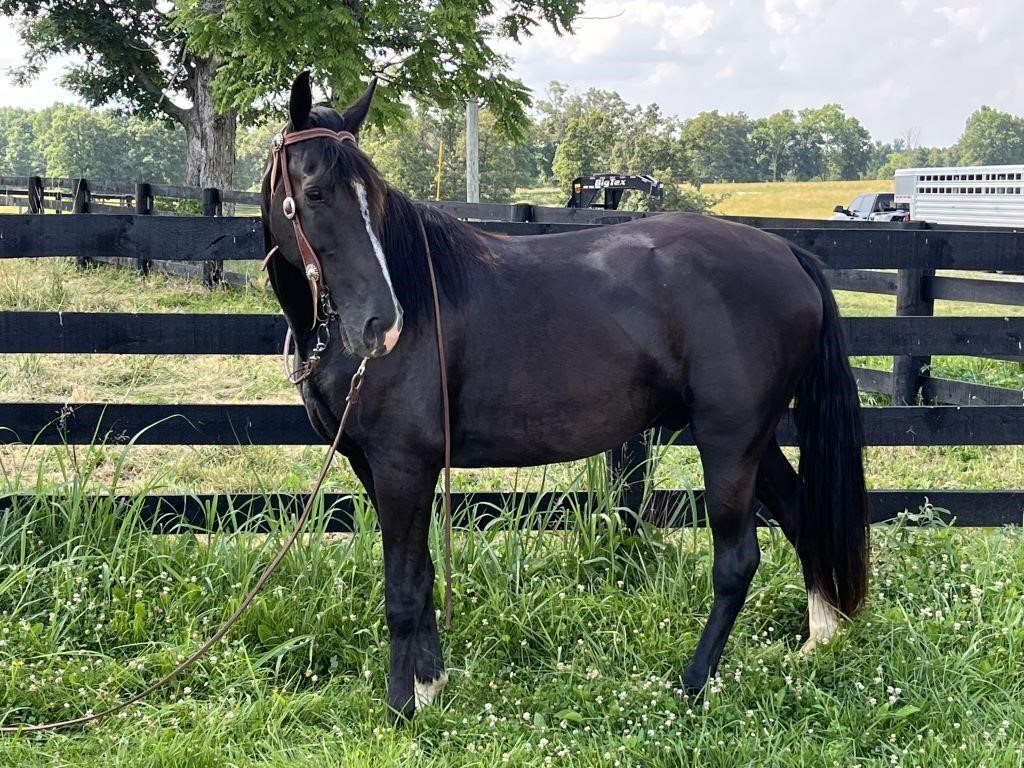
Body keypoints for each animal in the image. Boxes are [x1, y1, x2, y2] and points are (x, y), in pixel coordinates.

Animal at [260, 72, 868, 720]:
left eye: (370, 196)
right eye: (316, 193)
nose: (382, 325)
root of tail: (789, 255)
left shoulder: (403, 466)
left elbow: (402, 588)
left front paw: (402, 706)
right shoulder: (373, 467)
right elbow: (421, 577)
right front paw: (430, 684)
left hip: (729, 444)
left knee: (737, 561)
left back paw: (694, 680)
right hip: (755, 442)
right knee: (801, 516)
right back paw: (820, 639)